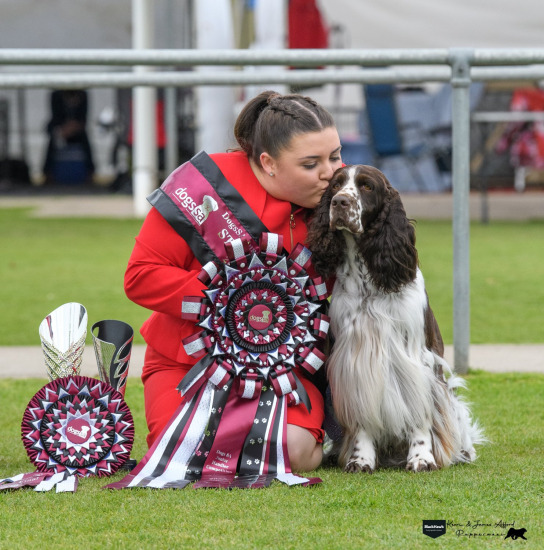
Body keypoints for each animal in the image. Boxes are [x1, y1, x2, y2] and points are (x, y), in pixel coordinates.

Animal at [308, 165, 482, 474]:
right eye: (336, 185)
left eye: (366, 186)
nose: (339, 202)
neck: (369, 282)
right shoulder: (353, 360)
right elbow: (362, 419)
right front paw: (360, 460)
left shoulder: (418, 359)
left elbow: (419, 414)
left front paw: (422, 458)